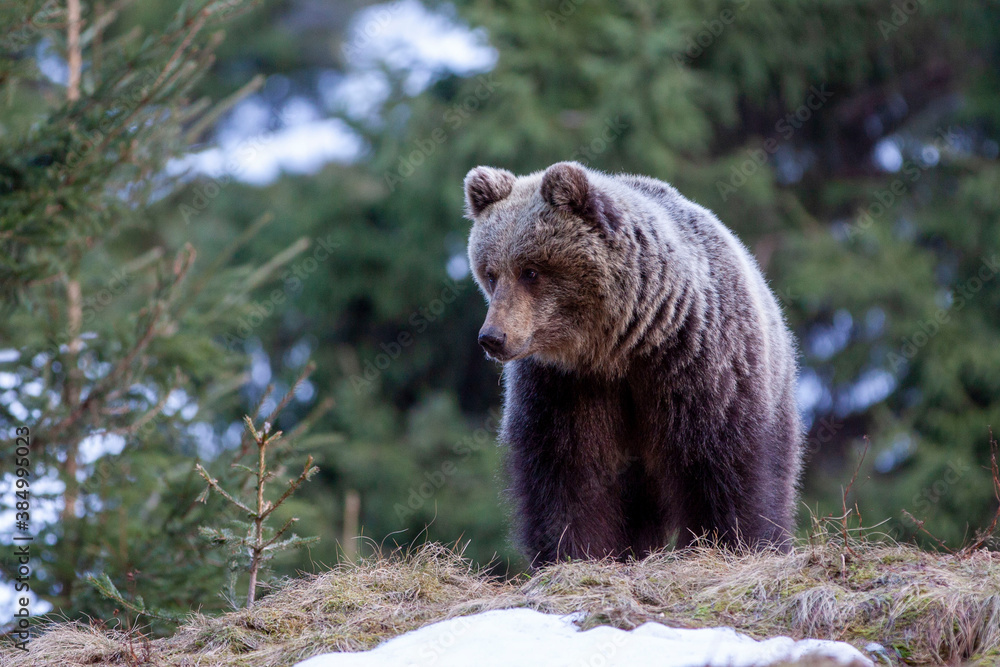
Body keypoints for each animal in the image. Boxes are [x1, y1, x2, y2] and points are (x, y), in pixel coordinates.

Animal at [463, 161, 802, 565]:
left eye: (530, 271)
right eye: (490, 273)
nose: (492, 337)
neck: (620, 347)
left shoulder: (696, 365)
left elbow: (720, 464)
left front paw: (731, 543)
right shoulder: (565, 386)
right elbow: (568, 472)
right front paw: (577, 552)